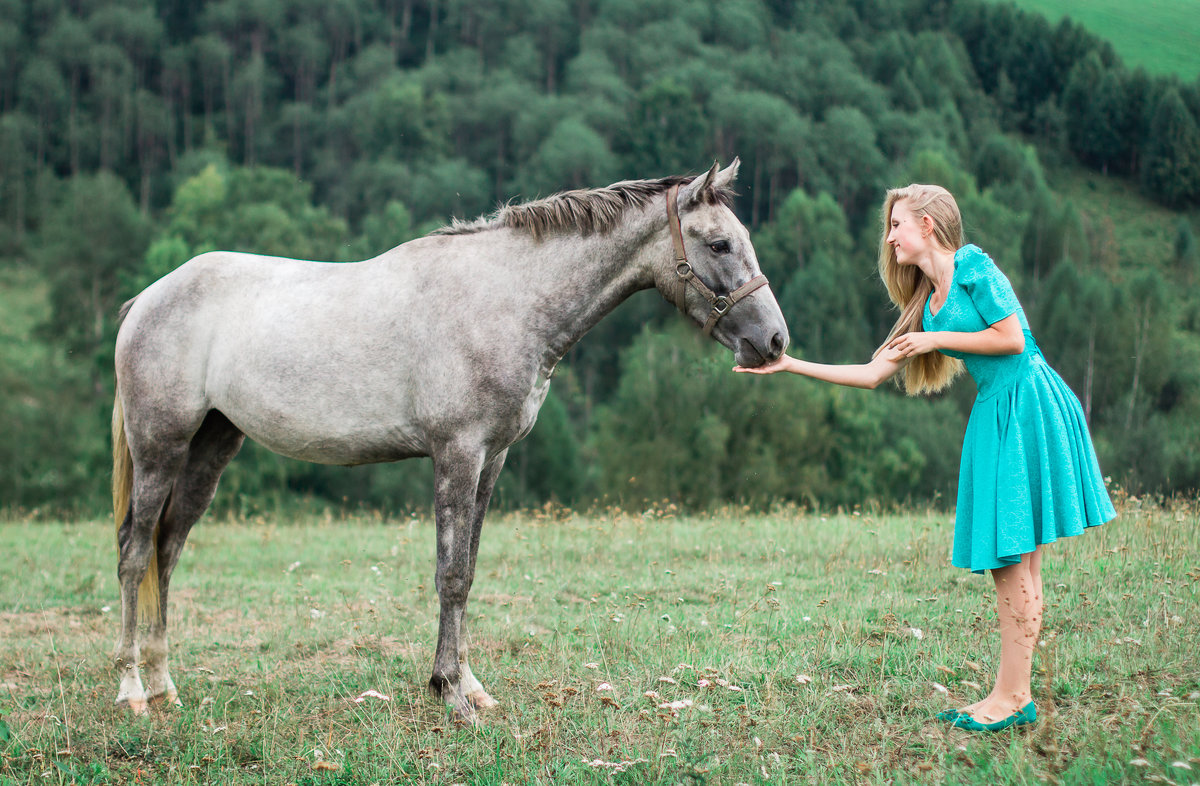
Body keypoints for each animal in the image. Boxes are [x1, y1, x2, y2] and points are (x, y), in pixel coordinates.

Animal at [110, 159, 787, 724]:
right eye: (719, 243)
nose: (774, 341)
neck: (507, 299)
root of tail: (147, 298)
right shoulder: (457, 453)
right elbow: (451, 573)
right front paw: (452, 695)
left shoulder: (492, 460)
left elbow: (469, 568)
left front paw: (466, 686)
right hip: (160, 449)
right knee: (136, 554)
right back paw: (133, 692)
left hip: (210, 449)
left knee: (167, 551)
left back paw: (167, 688)